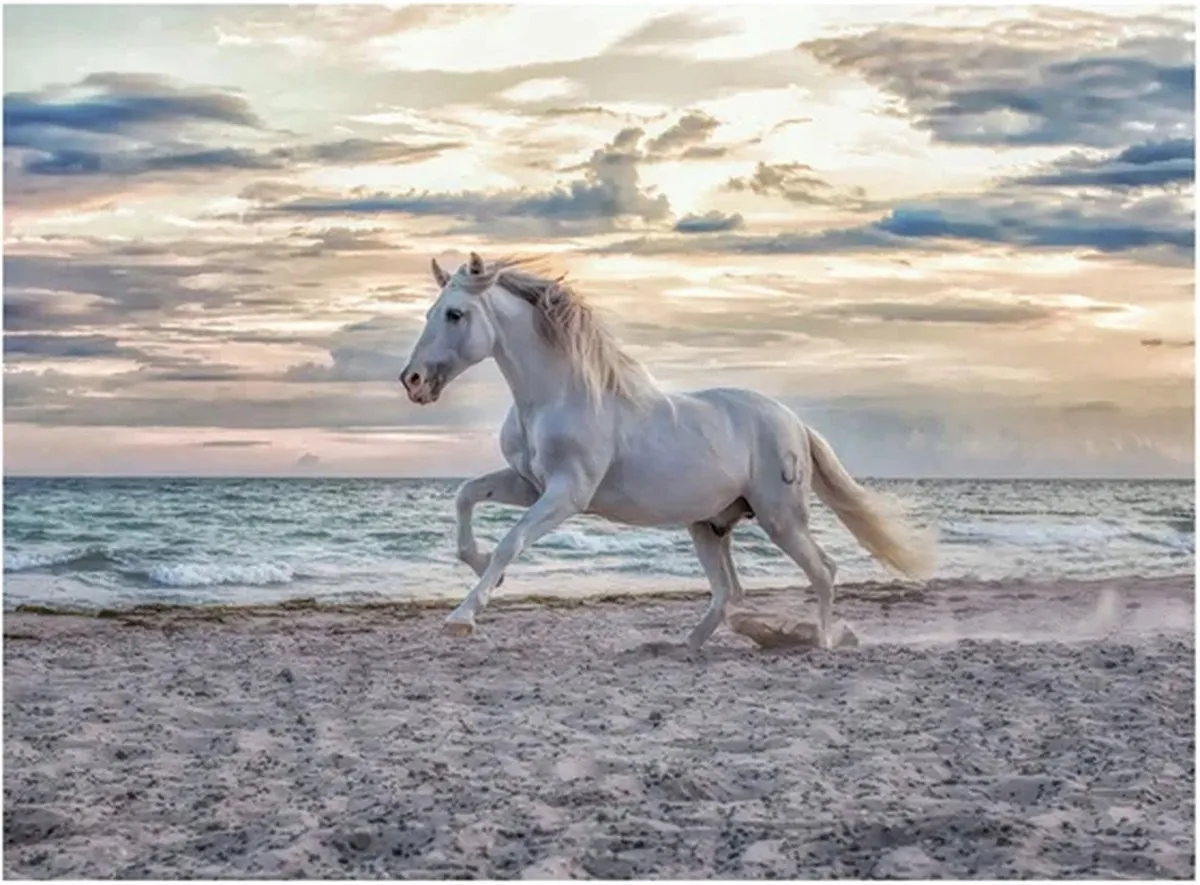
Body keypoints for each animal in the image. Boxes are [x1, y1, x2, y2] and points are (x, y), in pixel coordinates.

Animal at [400, 252, 937, 650]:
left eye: (455, 314)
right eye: (427, 313)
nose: (413, 381)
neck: (558, 396)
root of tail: (794, 423)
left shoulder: (567, 494)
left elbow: (511, 542)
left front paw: (464, 616)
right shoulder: (529, 483)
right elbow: (466, 497)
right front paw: (478, 569)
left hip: (781, 518)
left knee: (822, 571)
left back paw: (821, 642)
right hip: (708, 525)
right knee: (728, 591)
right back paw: (686, 645)